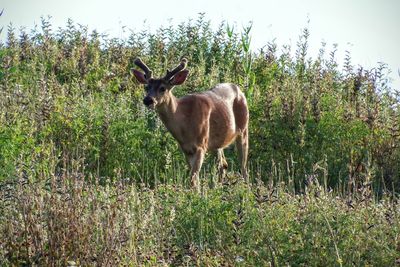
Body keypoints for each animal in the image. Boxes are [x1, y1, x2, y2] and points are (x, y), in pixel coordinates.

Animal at [133, 58, 248, 193]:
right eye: (146, 87)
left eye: (162, 88)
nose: (148, 100)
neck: (185, 124)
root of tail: (239, 89)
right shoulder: (186, 149)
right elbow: (193, 178)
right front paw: (196, 194)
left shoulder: (201, 145)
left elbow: (193, 178)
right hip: (217, 143)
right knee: (223, 165)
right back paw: (218, 189)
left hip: (243, 129)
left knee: (243, 167)